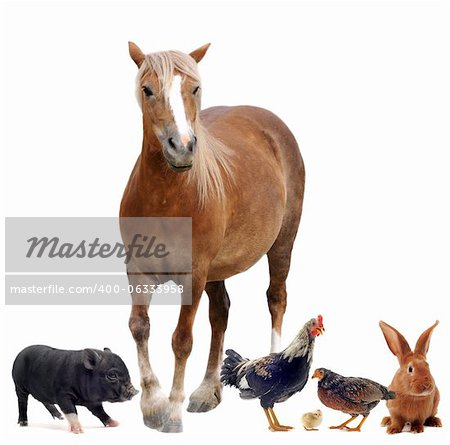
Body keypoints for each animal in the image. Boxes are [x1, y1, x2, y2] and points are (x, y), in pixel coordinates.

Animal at [119, 41, 304, 430]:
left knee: (276, 298)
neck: (166, 198)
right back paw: (208, 390)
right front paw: (152, 404)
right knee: (220, 314)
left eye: (195, 88)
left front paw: (172, 413)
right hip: (217, 271)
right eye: (147, 90)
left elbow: (182, 340)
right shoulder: (138, 271)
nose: (181, 147)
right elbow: (139, 327)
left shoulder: (194, 275)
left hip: (282, 244)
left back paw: (274, 363)